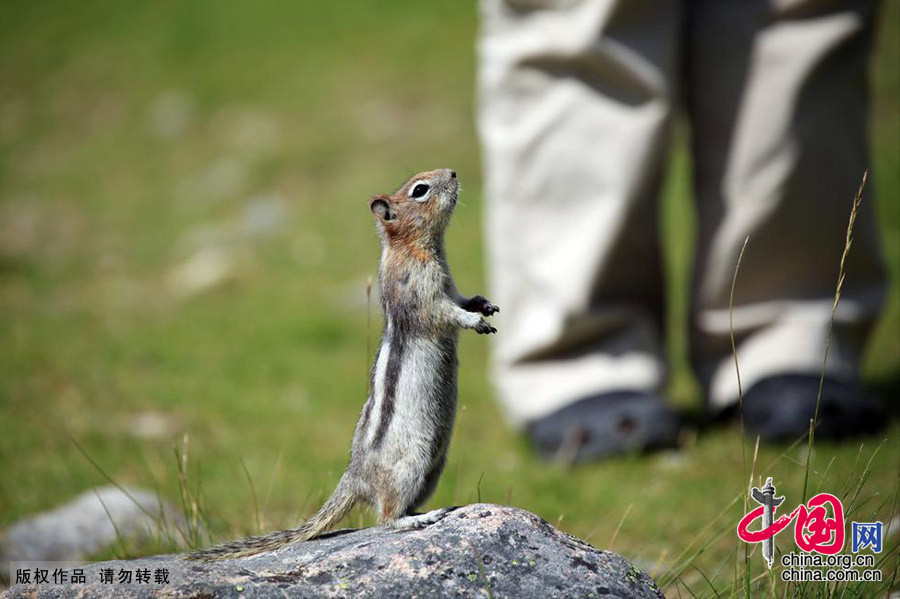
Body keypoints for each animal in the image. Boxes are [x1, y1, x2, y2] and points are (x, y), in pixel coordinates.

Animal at [188, 168, 500, 564]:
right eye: (420, 190)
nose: (454, 172)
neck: (412, 247)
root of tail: (354, 477)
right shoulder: (421, 294)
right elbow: (445, 313)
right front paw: (474, 320)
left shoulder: (450, 285)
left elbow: (462, 298)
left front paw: (484, 304)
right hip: (412, 465)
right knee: (385, 517)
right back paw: (420, 519)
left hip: (434, 467)